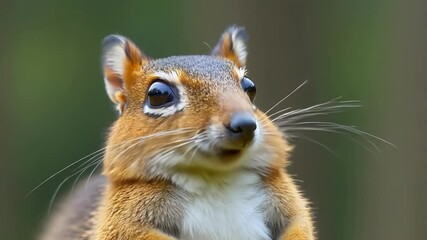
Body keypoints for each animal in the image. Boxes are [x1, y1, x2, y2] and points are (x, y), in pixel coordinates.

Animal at [41, 25, 314, 239]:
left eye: (250, 87)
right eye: (158, 95)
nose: (244, 123)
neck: (215, 180)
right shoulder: (123, 221)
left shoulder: (290, 205)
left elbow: (299, 225)